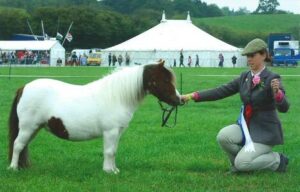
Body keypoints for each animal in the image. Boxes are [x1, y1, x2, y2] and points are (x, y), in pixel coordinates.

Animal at [7, 60, 180, 174]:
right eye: (165, 80)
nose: (180, 100)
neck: (117, 97)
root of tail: (24, 87)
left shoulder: (118, 132)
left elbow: (114, 151)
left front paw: (114, 169)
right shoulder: (110, 132)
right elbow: (109, 151)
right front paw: (108, 171)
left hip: (34, 129)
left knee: (23, 146)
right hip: (28, 128)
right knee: (17, 145)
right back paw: (13, 168)